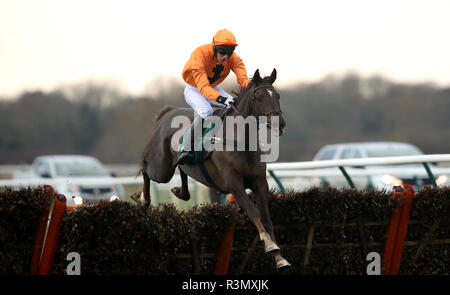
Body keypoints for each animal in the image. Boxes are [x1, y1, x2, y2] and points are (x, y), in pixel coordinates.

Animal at [139, 69, 290, 270]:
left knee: (182, 171)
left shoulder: (259, 183)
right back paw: (143, 199)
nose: (279, 124)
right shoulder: (234, 184)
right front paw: (270, 245)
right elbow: (253, 212)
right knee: (146, 167)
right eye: (259, 98)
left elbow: (267, 218)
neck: (241, 141)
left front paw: (279, 258)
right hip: (161, 168)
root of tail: (168, 112)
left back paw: (180, 191)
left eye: (277, 96)